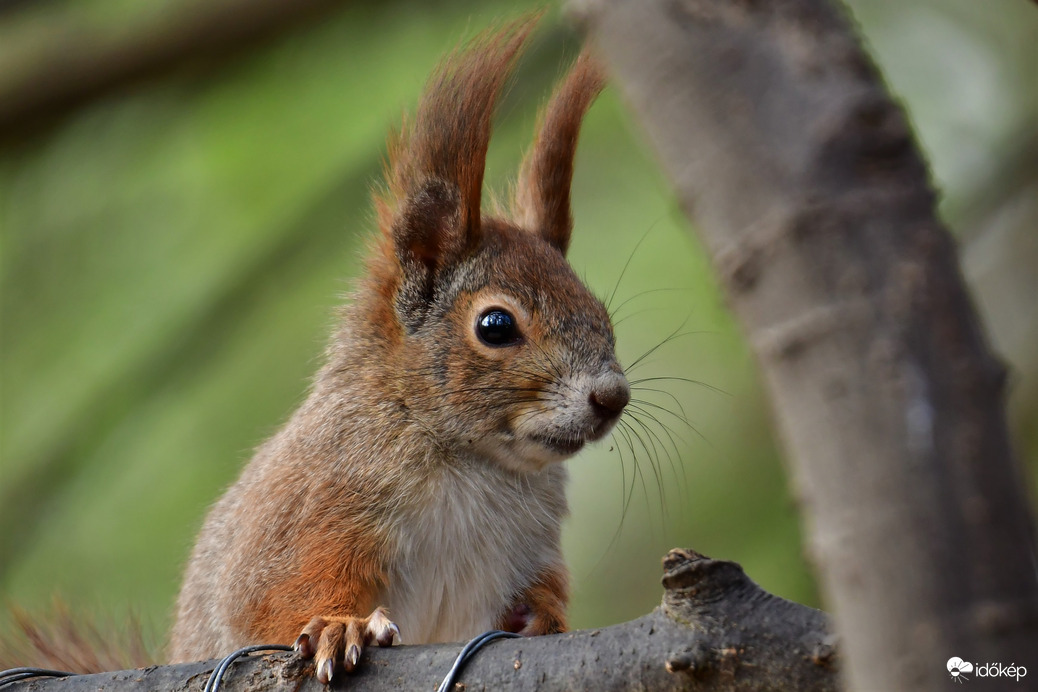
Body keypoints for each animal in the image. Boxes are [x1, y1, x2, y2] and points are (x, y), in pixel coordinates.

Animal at [168, 17, 631, 688]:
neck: (472, 462)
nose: (613, 396)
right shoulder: (309, 511)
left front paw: (545, 617)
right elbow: (270, 597)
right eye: (495, 325)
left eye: (601, 313)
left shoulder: (529, 551)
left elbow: (539, 593)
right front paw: (338, 626)